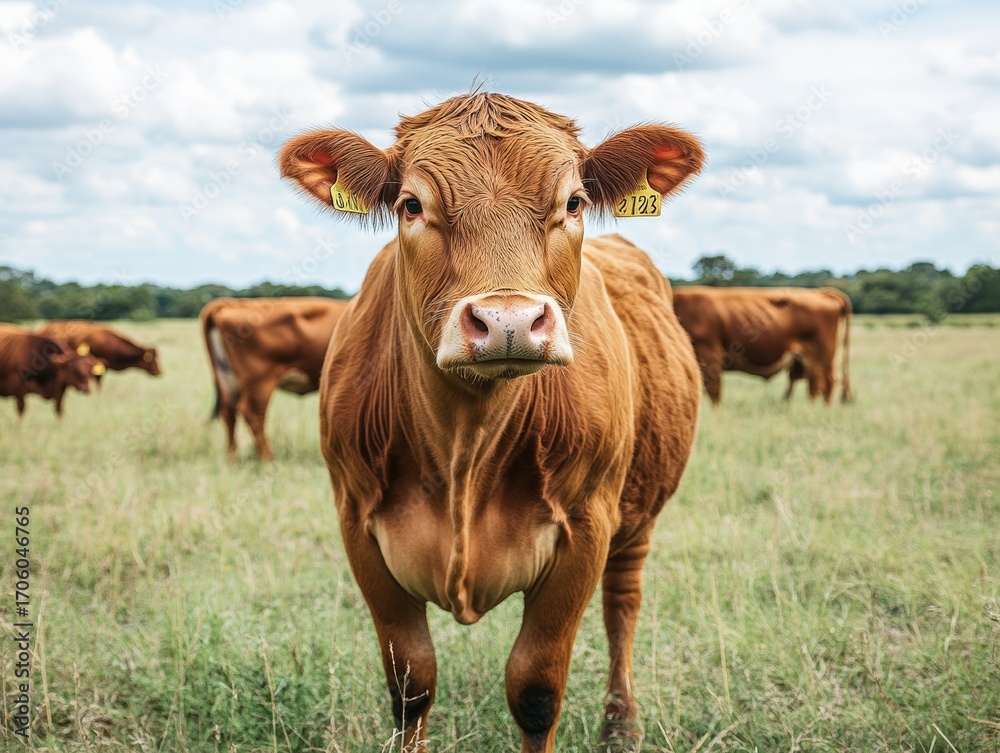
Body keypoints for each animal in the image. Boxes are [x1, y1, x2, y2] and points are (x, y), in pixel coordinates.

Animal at [200, 297, 350, 461]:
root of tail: (232, 303)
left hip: (228, 379)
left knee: (229, 412)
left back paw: (232, 458)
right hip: (260, 381)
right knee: (252, 413)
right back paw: (267, 457)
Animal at [279, 92, 704, 751]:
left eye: (572, 202)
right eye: (411, 204)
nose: (509, 320)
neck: (465, 444)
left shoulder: (586, 527)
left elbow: (535, 689)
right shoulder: (357, 522)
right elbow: (411, 685)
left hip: (637, 517)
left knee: (622, 604)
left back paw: (620, 723)